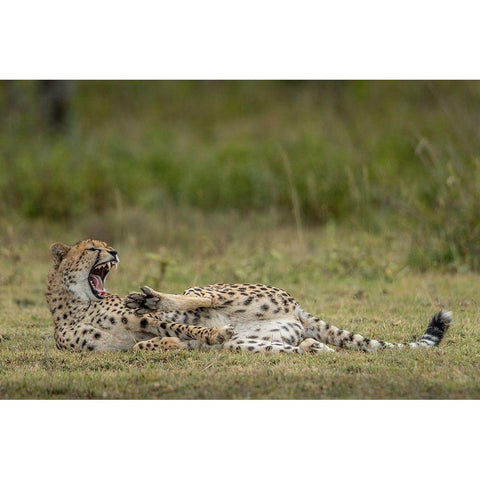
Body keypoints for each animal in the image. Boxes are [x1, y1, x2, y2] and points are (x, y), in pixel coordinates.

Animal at [47, 239, 452, 352]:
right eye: (92, 249)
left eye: (103, 246)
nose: (114, 252)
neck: (78, 305)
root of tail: (297, 309)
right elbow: (140, 346)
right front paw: (165, 346)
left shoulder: (147, 323)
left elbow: (181, 328)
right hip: (254, 342)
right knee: (307, 347)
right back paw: (314, 349)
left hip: (218, 291)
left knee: (202, 299)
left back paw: (153, 298)